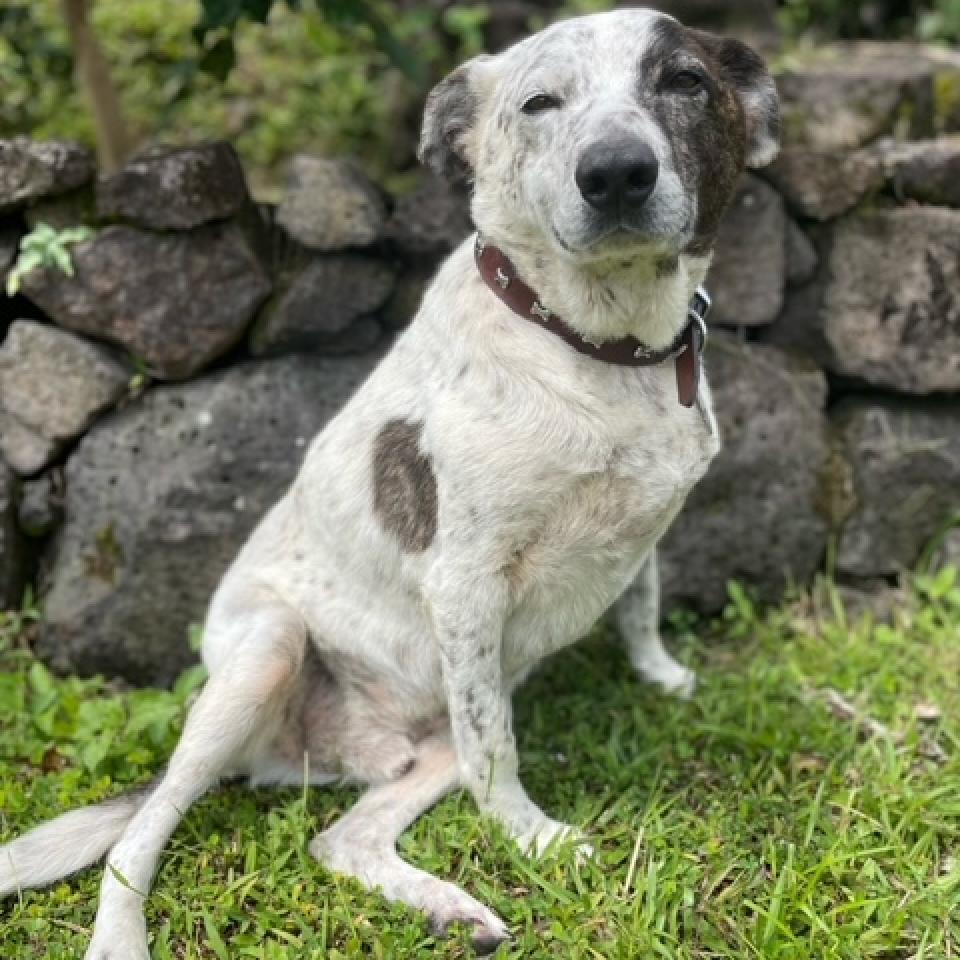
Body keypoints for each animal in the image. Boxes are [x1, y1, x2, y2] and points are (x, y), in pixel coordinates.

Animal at [1, 9, 780, 960]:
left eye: (684, 82)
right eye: (540, 103)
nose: (616, 174)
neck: (598, 346)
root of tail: (326, 754)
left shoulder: (639, 534)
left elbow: (641, 602)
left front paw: (660, 674)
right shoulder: (465, 585)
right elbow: (497, 755)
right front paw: (530, 838)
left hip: (430, 736)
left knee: (341, 840)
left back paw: (452, 909)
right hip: (267, 654)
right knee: (142, 832)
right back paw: (121, 936)